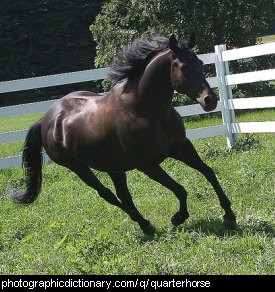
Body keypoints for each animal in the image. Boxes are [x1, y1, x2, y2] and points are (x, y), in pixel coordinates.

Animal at [10, 33, 238, 235]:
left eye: (199, 62)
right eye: (182, 66)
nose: (209, 100)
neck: (146, 110)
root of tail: (46, 119)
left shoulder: (181, 147)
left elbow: (208, 172)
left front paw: (229, 216)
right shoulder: (147, 164)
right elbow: (180, 189)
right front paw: (178, 217)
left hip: (113, 166)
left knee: (123, 195)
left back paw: (146, 226)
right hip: (79, 168)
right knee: (109, 195)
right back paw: (146, 225)